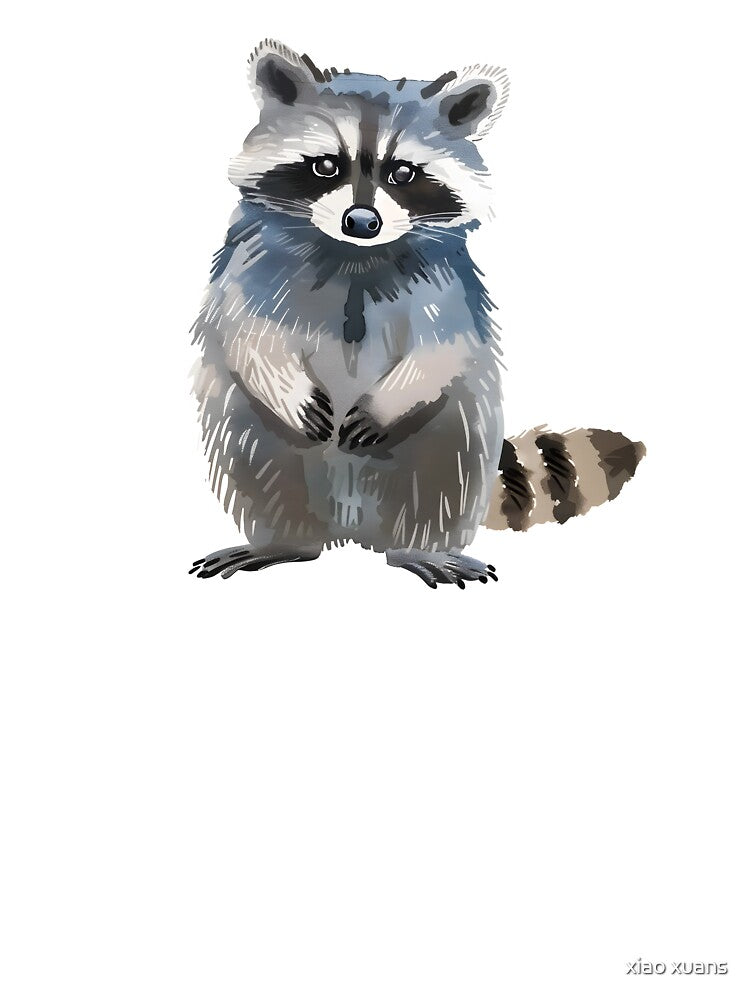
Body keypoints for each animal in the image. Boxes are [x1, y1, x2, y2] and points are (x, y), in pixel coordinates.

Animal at [189, 39, 644, 588]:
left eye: (402, 173)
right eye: (326, 166)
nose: (362, 221)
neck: (354, 255)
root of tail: (351, 530)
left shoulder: (449, 284)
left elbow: (444, 346)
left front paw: (392, 398)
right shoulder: (250, 259)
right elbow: (243, 328)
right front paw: (283, 382)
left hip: (455, 437)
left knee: (440, 478)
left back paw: (417, 548)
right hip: (250, 431)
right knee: (260, 467)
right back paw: (284, 542)